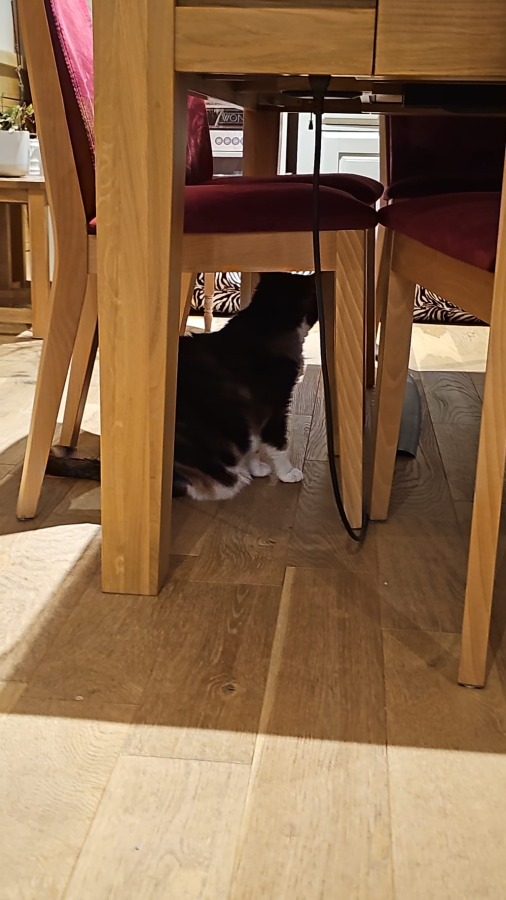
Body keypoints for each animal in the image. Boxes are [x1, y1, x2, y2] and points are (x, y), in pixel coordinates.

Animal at [173, 272, 317, 501]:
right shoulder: (275, 406)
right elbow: (278, 443)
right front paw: (287, 473)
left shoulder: (251, 414)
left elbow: (255, 442)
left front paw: (256, 468)